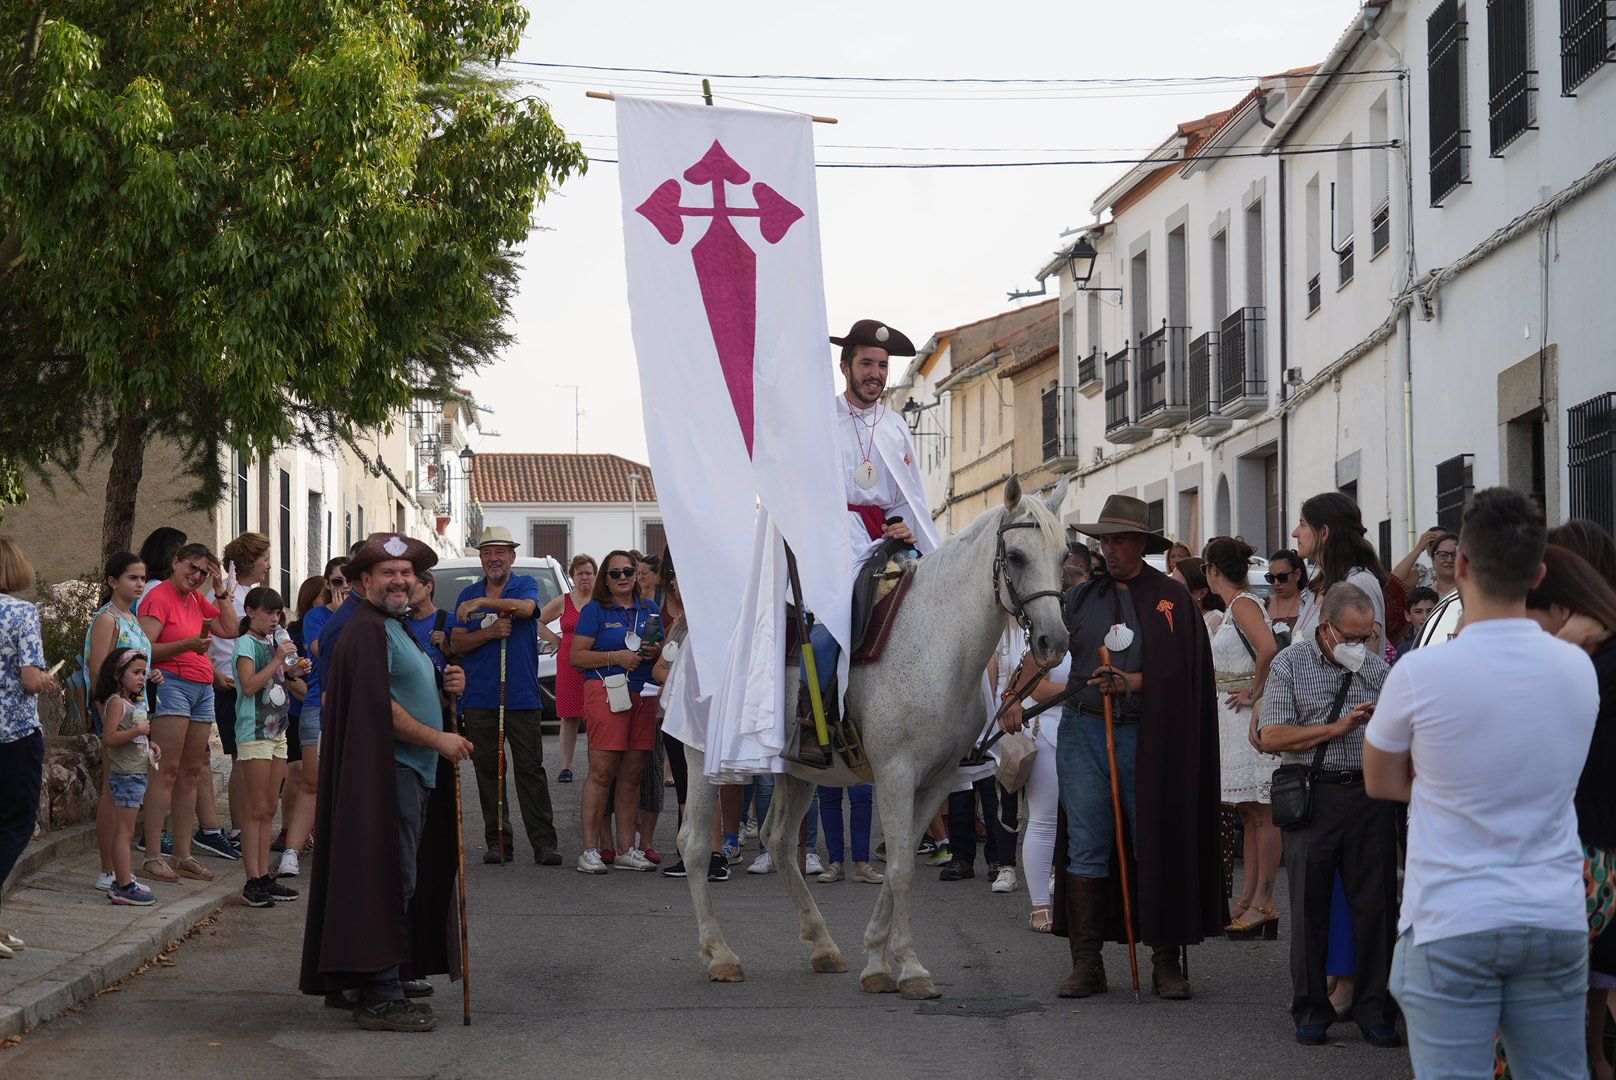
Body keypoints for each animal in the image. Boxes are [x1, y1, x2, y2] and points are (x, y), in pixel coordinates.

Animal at [675, 475, 1066, 1002]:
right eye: (1019, 556)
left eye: (1064, 555)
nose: (1054, 643)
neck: (936, 645)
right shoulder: (897, 774)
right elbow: (900, 867)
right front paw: (911, 968)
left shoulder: (938, 781)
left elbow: (900, 863)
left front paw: (878, 963)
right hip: (701, 760)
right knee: (695, 844)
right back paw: (720, 955)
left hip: (796, 770)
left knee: (779, 839)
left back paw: (823, 946)